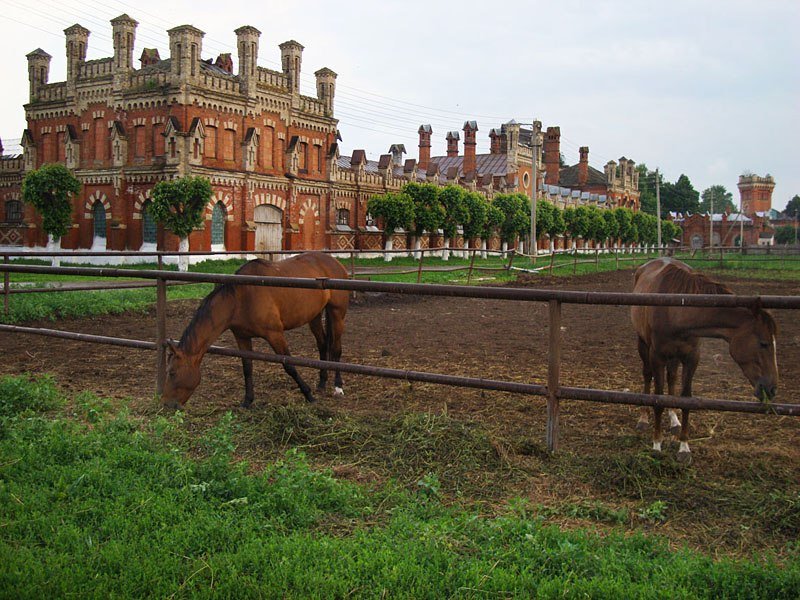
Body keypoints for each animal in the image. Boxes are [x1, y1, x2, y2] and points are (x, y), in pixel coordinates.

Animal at [161, 251, 348, 410]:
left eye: (172, 373)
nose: (167, 404)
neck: (240, 298)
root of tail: (333, 261)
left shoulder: (275, 334)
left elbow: (289, 366)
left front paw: (308, 395)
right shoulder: (242, 337)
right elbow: (247, 368)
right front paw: (247, 401)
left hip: (337, 313)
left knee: (336, 349)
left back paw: (337, 387)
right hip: (314, 316)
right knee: (322, 344)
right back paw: (322, 383)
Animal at [632, 258, 776, 464]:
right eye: (764, 343)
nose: (771, 388)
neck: (676, 311)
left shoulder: (692, 357)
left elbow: (686, 398)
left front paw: (684, 448)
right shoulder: (657, 356)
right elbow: (658, 399)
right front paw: (657, 445)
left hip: (674, 357)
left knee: (672, 378)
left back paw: (673, 419)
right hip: (643, 344)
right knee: (647, 375)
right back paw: (643, 418)